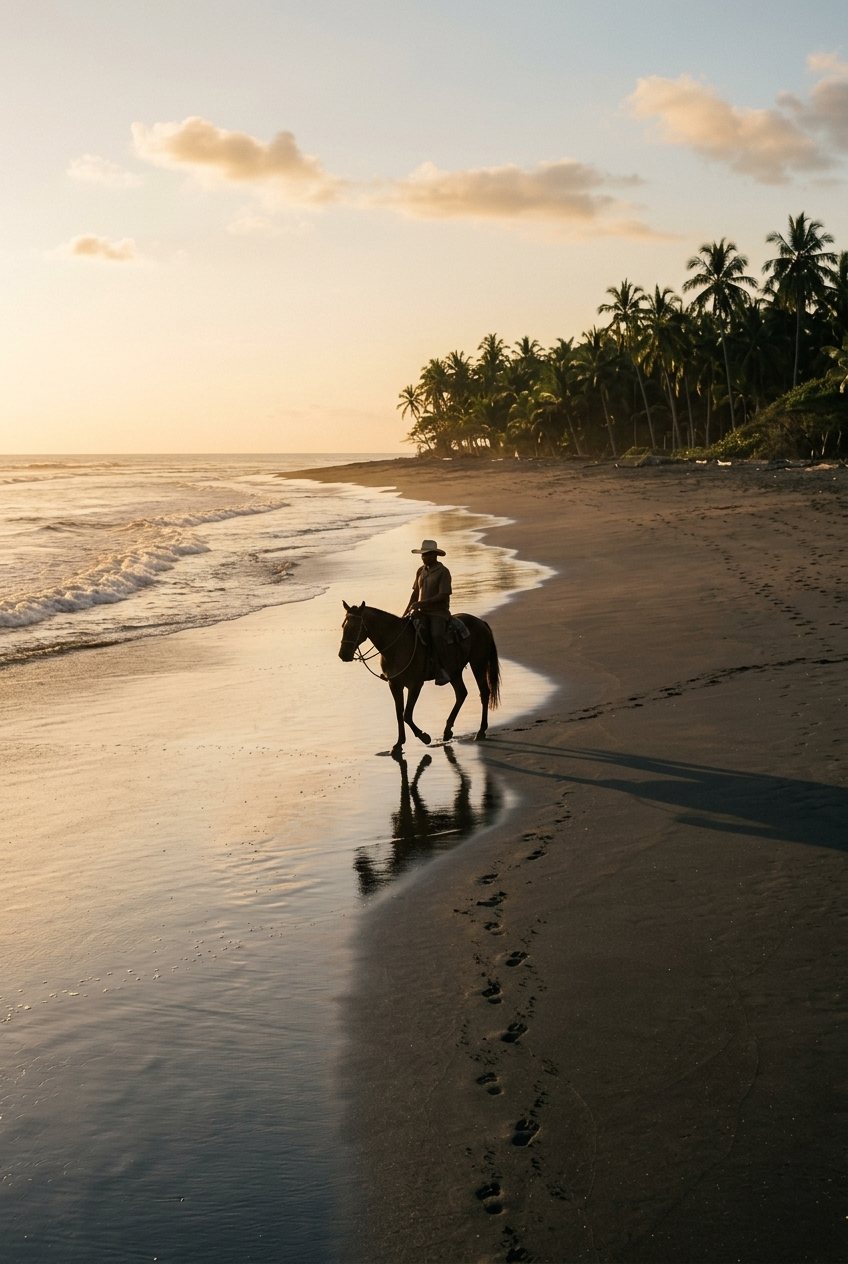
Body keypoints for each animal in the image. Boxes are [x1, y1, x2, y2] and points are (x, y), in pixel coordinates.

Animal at [338, 602, 501, 757]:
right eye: (343, 626)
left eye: (355, 627)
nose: (343, 654)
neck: (397, 646)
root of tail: (481, 622)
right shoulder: (394, 684)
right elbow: (399, 713)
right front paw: (398, 744)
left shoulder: (415, 685)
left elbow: (407, 715)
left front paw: (424, 736)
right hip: (455, 671)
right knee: (461, 693)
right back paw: (447, 731)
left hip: (478, 663)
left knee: (484, 693)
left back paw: (480, 731)